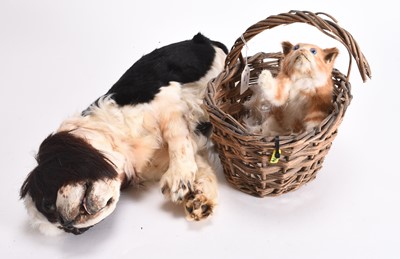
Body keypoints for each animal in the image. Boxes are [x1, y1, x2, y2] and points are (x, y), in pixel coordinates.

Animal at [19, 32, 228, 236]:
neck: (125, 141)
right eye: (69, 231)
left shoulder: (165, 97)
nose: (67, 224)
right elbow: (200, 165)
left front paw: (179, 177)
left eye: (47, 203)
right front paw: (199, 201)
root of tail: (202, 39)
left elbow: (176, 136)